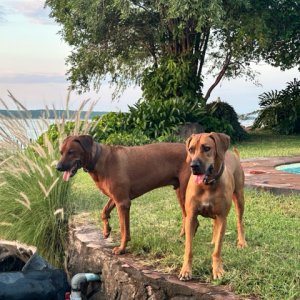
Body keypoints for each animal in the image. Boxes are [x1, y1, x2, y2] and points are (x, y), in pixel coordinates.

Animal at [56, 135, 190, 254]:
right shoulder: (116, 198)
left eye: (71, 152)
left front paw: (121, 249)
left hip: (185, 192)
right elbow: (104, 211)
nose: (58, 167)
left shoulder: (122, 202)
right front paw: (106, 230)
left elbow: (123, 230)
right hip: (179, 191)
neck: (98, 159)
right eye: (61, 152)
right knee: (185, 216)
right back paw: (182, 236)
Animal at [178, 132, 246, 280]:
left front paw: (217, 270)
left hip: (239, 197)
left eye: (207, 148)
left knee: (239, 222)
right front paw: (186, 270)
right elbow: (189, 249)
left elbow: (217, 250)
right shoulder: (191, 217)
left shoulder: (222, 217)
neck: (207, 185)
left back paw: (242, 242)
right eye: (191, 149)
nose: (194, 166)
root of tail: (233, 154)